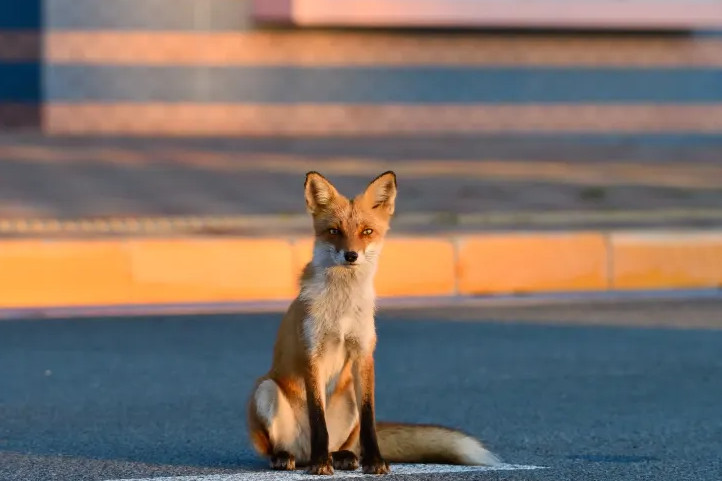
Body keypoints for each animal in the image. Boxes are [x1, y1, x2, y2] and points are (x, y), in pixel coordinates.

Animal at [245, 171, 498, 474]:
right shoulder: (312, 354)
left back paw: (343, 456)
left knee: (345, 444)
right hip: (265, 390)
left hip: (348, 399)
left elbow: (369, 420)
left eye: (366, 232)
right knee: (285, 446)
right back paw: (292, 456)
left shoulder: (363, 354)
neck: (341, 309)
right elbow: (318, 419)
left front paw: (374, 461)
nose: (351, 256)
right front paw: (320, 464)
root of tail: (303, 450)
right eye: (334, 231)